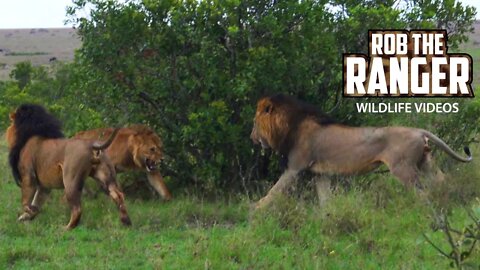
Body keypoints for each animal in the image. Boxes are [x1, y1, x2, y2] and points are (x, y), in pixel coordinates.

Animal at [251, 94, 472, 209]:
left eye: (254, 123)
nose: (251, 137)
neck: (289, 126)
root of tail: (419, 131)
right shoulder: (320, 173)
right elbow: (325, 200)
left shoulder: (294, 168)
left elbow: (273, 192)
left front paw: (255, 210)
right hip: (425, 162)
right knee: (442, 181)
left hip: (403, 168)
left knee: (422, 192)